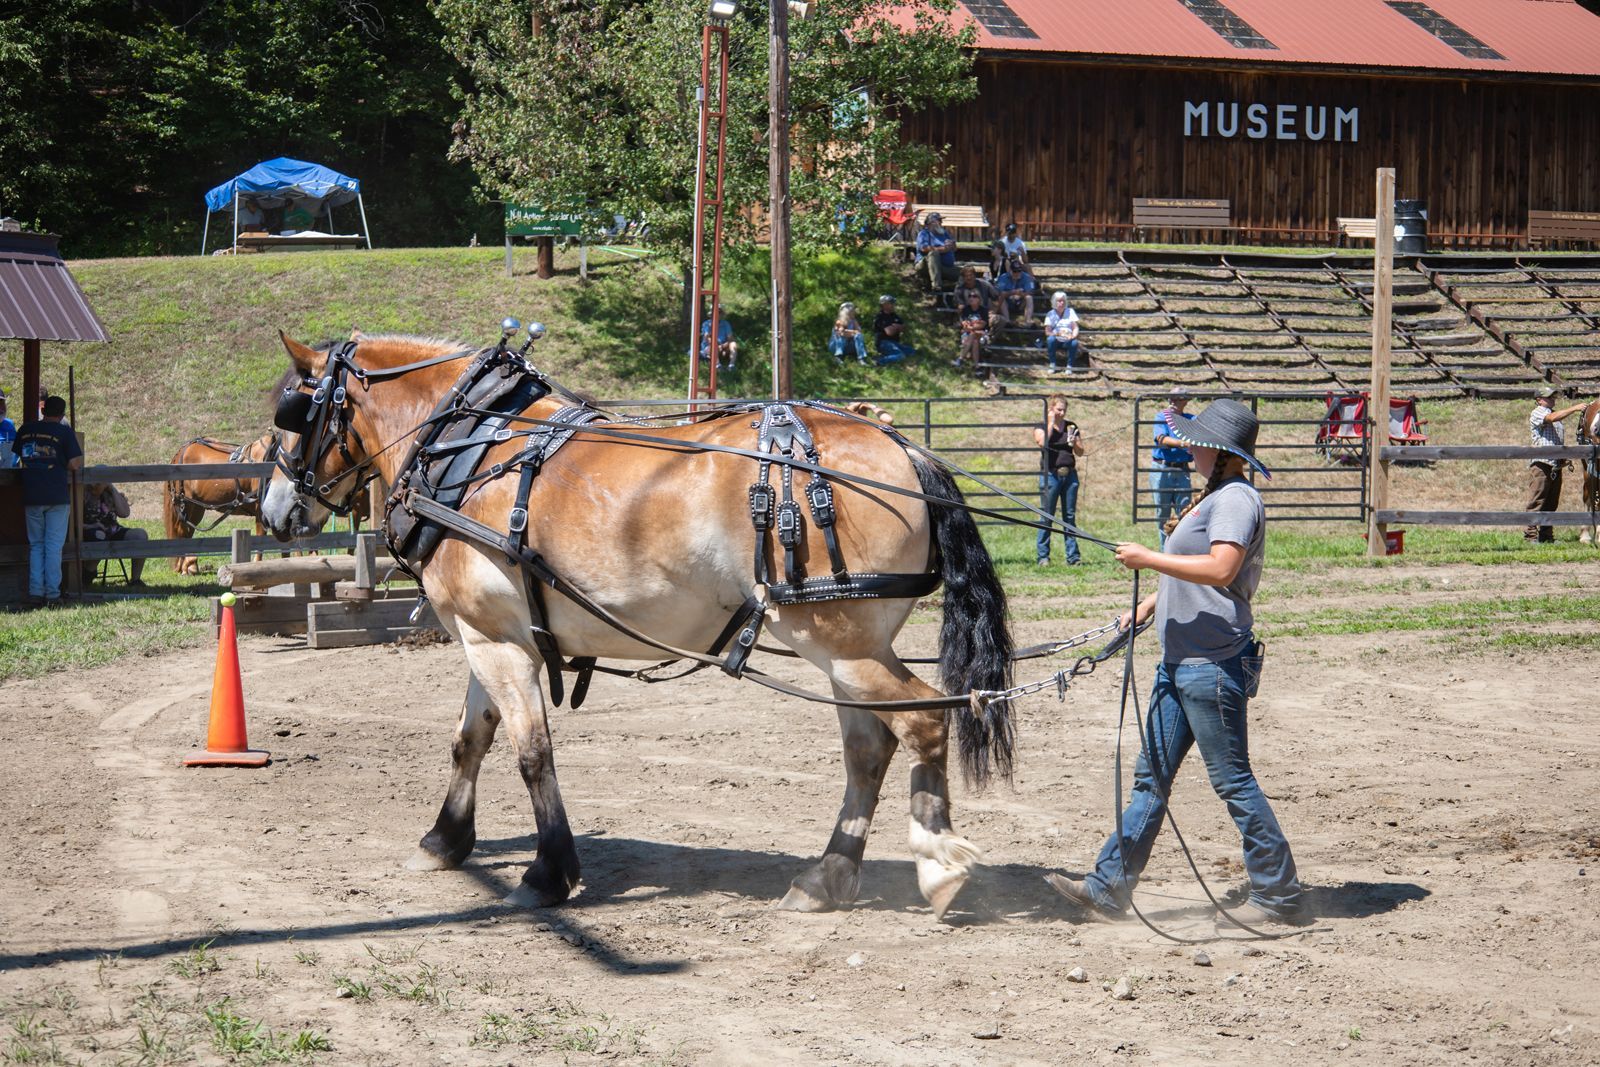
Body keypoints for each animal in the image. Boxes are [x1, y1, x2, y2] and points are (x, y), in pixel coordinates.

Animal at [259, 333, 1015, 919]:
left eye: (290, 413)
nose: (273, 511)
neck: (469, 451)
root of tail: (902, 446)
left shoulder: (492, 638)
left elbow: (531, 752)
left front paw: (547, 873)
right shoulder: (490, 632)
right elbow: (469, 741)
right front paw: (444, 841)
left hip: (840, 641)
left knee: (923, 722)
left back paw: (937, 864)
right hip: (845, 647)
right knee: (869, 747)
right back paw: (827, 876)